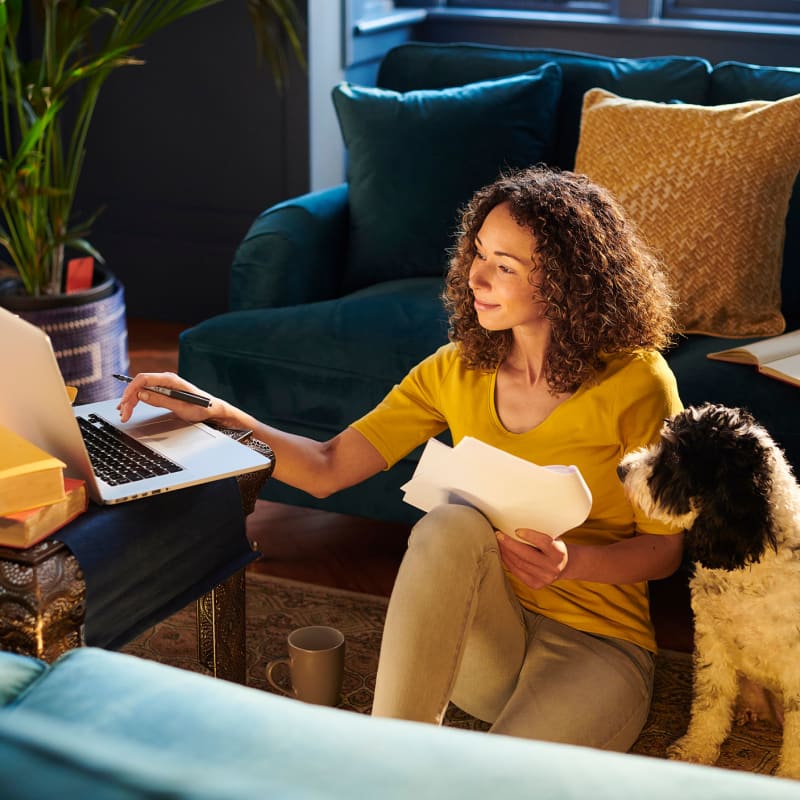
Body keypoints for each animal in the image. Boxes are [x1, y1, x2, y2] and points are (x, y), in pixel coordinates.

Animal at [620, 404, 800, 780]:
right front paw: (696, 750)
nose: (621, 469)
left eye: (675, 458)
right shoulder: (712, 640)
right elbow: (710, 702)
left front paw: (790, 777)